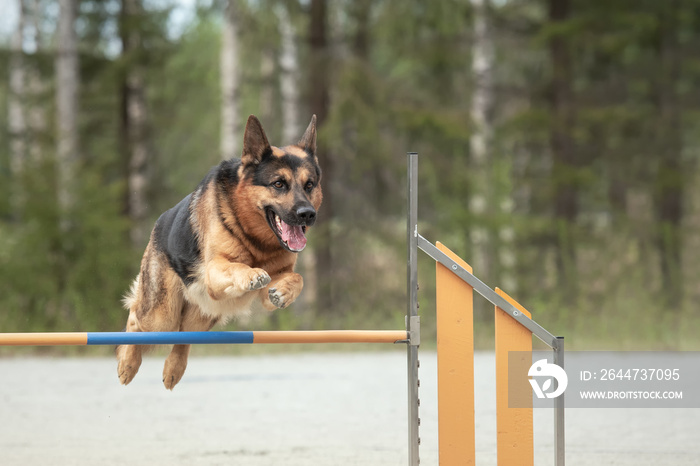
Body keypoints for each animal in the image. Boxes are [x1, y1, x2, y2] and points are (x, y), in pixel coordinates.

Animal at [115, 114, 322, 388]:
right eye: (279, 184)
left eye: (309, 185)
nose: (307, 214)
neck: (257, 242)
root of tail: (158, 224)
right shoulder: (214, 272)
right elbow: (237, 266)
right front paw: (251, 274)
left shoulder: (267, 294)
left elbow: (296, 278)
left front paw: (284, 293)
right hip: (161, 317)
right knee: (135, 319)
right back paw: (127, 363)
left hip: (202, 317)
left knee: (183, 339)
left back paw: (173, 369)